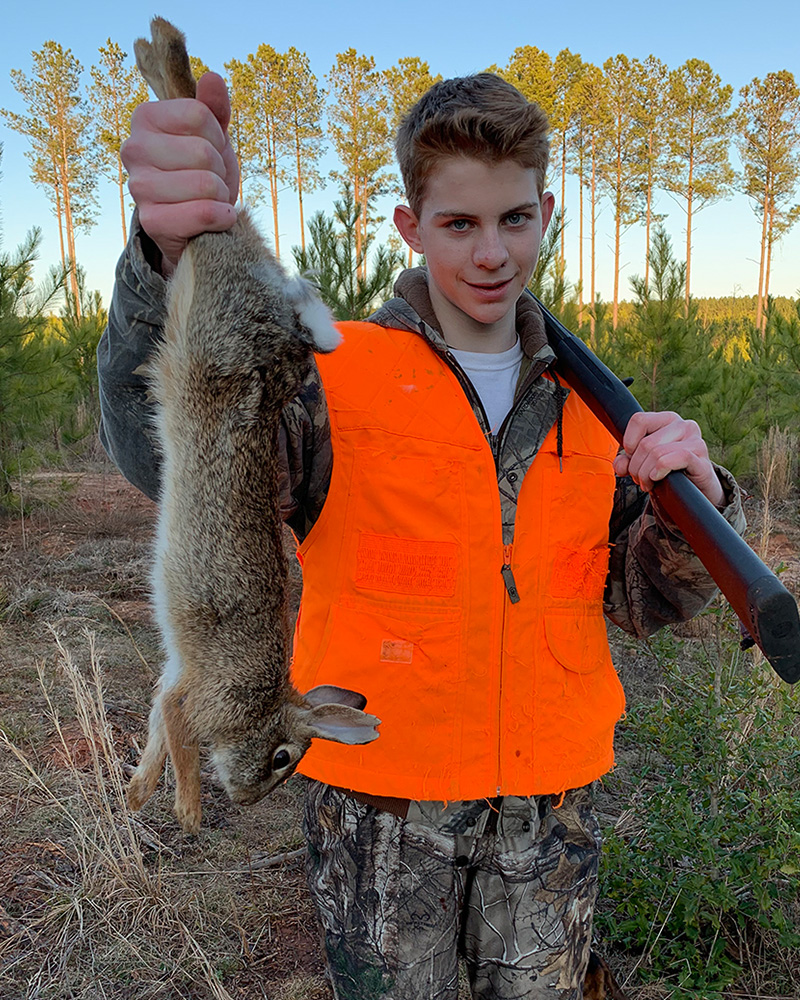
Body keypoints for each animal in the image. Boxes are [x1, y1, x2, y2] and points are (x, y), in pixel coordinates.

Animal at [126, 18, 380, 834]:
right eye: (281, 758)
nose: (246, 798)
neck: (259, 704)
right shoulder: (201, 693)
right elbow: (177, 729)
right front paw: (186, 807)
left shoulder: (175, 676)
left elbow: (154, 721)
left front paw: (141, 790)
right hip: (225, 319)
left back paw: (156, 51)